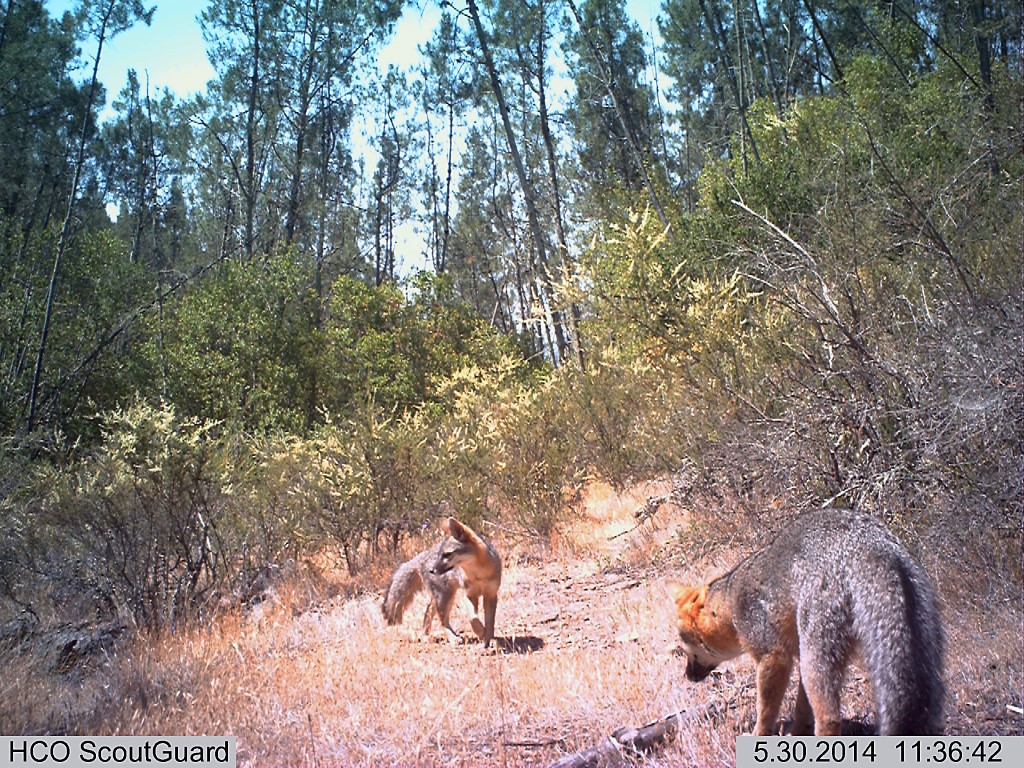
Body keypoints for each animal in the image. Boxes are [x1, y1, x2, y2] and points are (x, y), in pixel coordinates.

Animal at [382, 518, 501, 651]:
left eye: (447, 554)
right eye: (440, 555)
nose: (431, 570)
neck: (478, 575)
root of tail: (423, 555)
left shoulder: (491, 595)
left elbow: (490, 622)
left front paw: (489, 638)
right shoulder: (470, 594)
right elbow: (473, 618)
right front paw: (481, 632)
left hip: (441, 596)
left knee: (428, 610)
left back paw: (425, 635)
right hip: (445, 596)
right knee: (443, 621)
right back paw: (452, 637)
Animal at [667, 507, 946, 737]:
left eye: (687, 650)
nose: (687, 676)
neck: (730, 603)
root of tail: (870, 543)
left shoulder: (773, 657)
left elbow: (766, 709)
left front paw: (759, 734)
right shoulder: (797, 652)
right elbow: (802, 706)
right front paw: (796, 731)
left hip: (816, 655)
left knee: (831, 717)